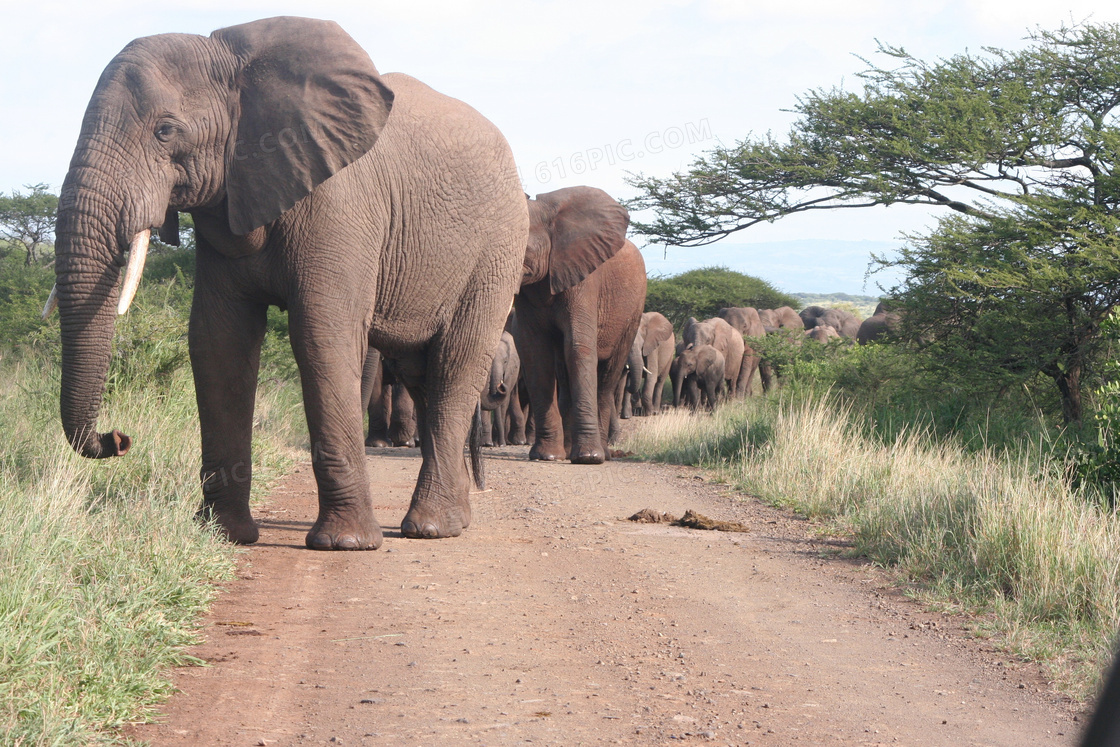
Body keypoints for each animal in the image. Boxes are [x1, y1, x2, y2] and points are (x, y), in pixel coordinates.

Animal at [48, 14, 528, 546]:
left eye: (165, 130)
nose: (119, 438)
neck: (236, 62)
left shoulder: (339, 202)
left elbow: (321, 334)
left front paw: (344, 544)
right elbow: (218, 341)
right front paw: (226, 536)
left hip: (498, 249)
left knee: (455, 364)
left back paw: (430, 529)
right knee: (421, 374)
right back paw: (452, 522)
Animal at [515, 187, 649, 463]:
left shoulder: (584, 279)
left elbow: (579, 348)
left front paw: (588, 457)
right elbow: (534, 353)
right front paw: (546, 456)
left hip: (634, 309)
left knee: (607, 378)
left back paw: (601, 454)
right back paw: (567, 452)